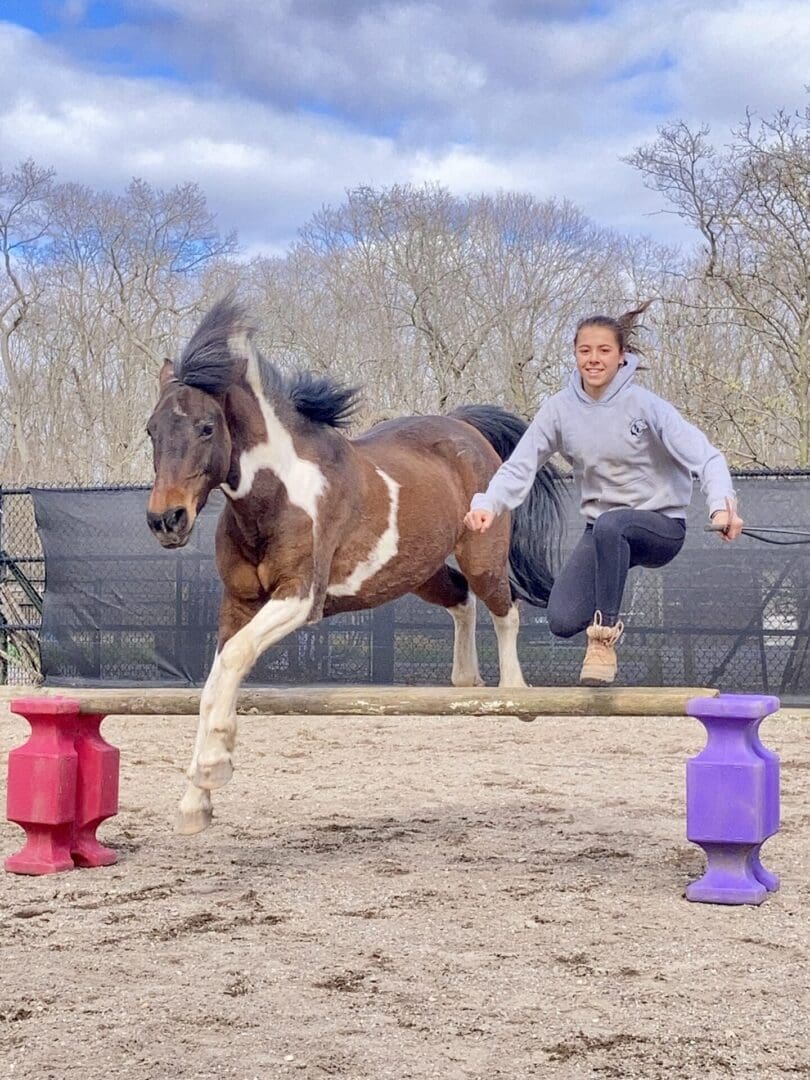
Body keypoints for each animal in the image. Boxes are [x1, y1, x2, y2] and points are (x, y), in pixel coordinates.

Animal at [147, 298, 565, 833]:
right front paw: (195, 801)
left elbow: (235, 660)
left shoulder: (299, 597)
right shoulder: (238, 602)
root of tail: (464, 427)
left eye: (206, 427)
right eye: (152, 430)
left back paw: (514, 696)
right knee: (461, 600)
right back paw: (465, 682)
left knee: (504, 608)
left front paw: (212, 769)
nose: (166, 520)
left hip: (482, 554)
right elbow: (218, 677)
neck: (273, 496)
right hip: (417, 570)